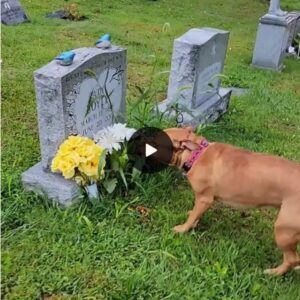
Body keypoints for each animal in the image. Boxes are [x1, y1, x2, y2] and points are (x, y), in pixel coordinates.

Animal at [163, 125, 300, 276]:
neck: (196, 154)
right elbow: (195, 214)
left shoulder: (204, 199)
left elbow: (192, 216)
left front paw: (183, 228)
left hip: (284, 231)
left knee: (292, 259)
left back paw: (273, 272)